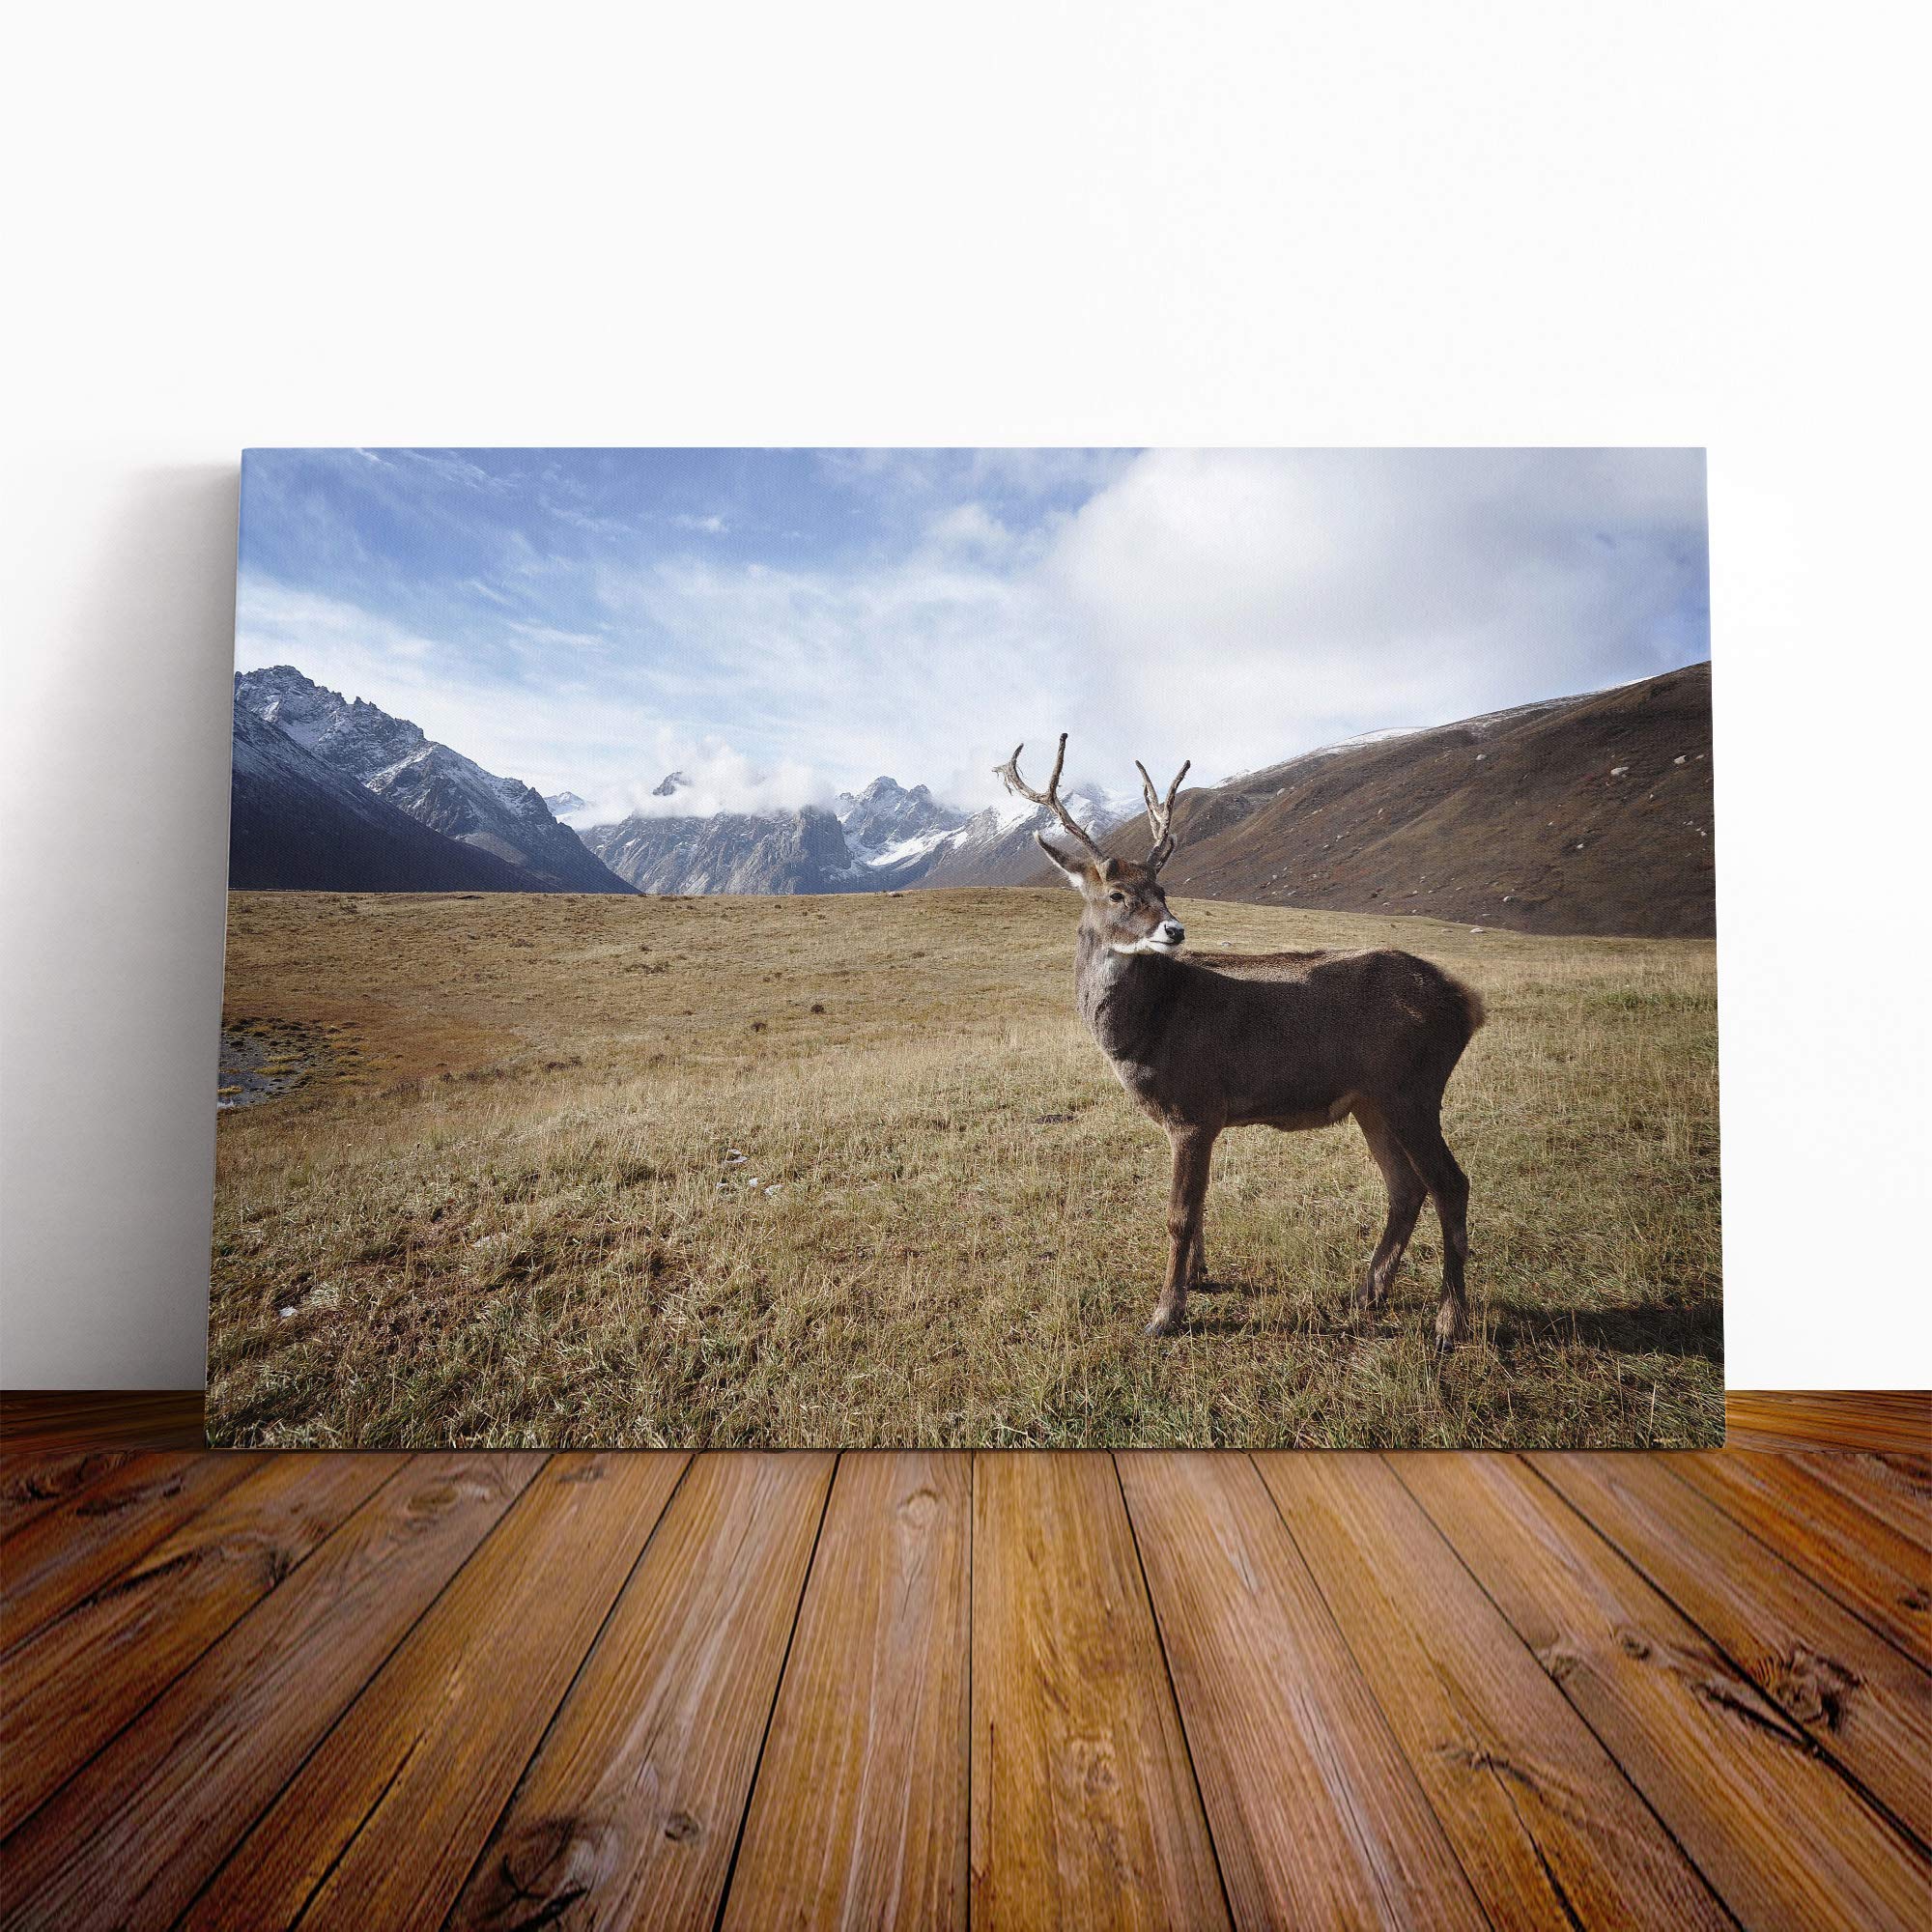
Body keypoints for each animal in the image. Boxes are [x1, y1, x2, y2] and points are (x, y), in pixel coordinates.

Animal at [997, 735, 1486, 1346]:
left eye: (1162, 888)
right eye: (1117, 894)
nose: (1174, 929)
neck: (1148, 1030)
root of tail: (1468, 1002)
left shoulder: (1194, 1107)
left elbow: (1179, 1215)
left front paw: (1166, 1313)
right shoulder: (1200, 1119)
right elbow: (1200, 1205)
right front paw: (1199, 1278)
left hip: (1413, 1087)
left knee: (1451, 1183)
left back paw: (1448, 1320)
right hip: (1373, 1100)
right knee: (1406, 1188)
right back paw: (1367, 1294)